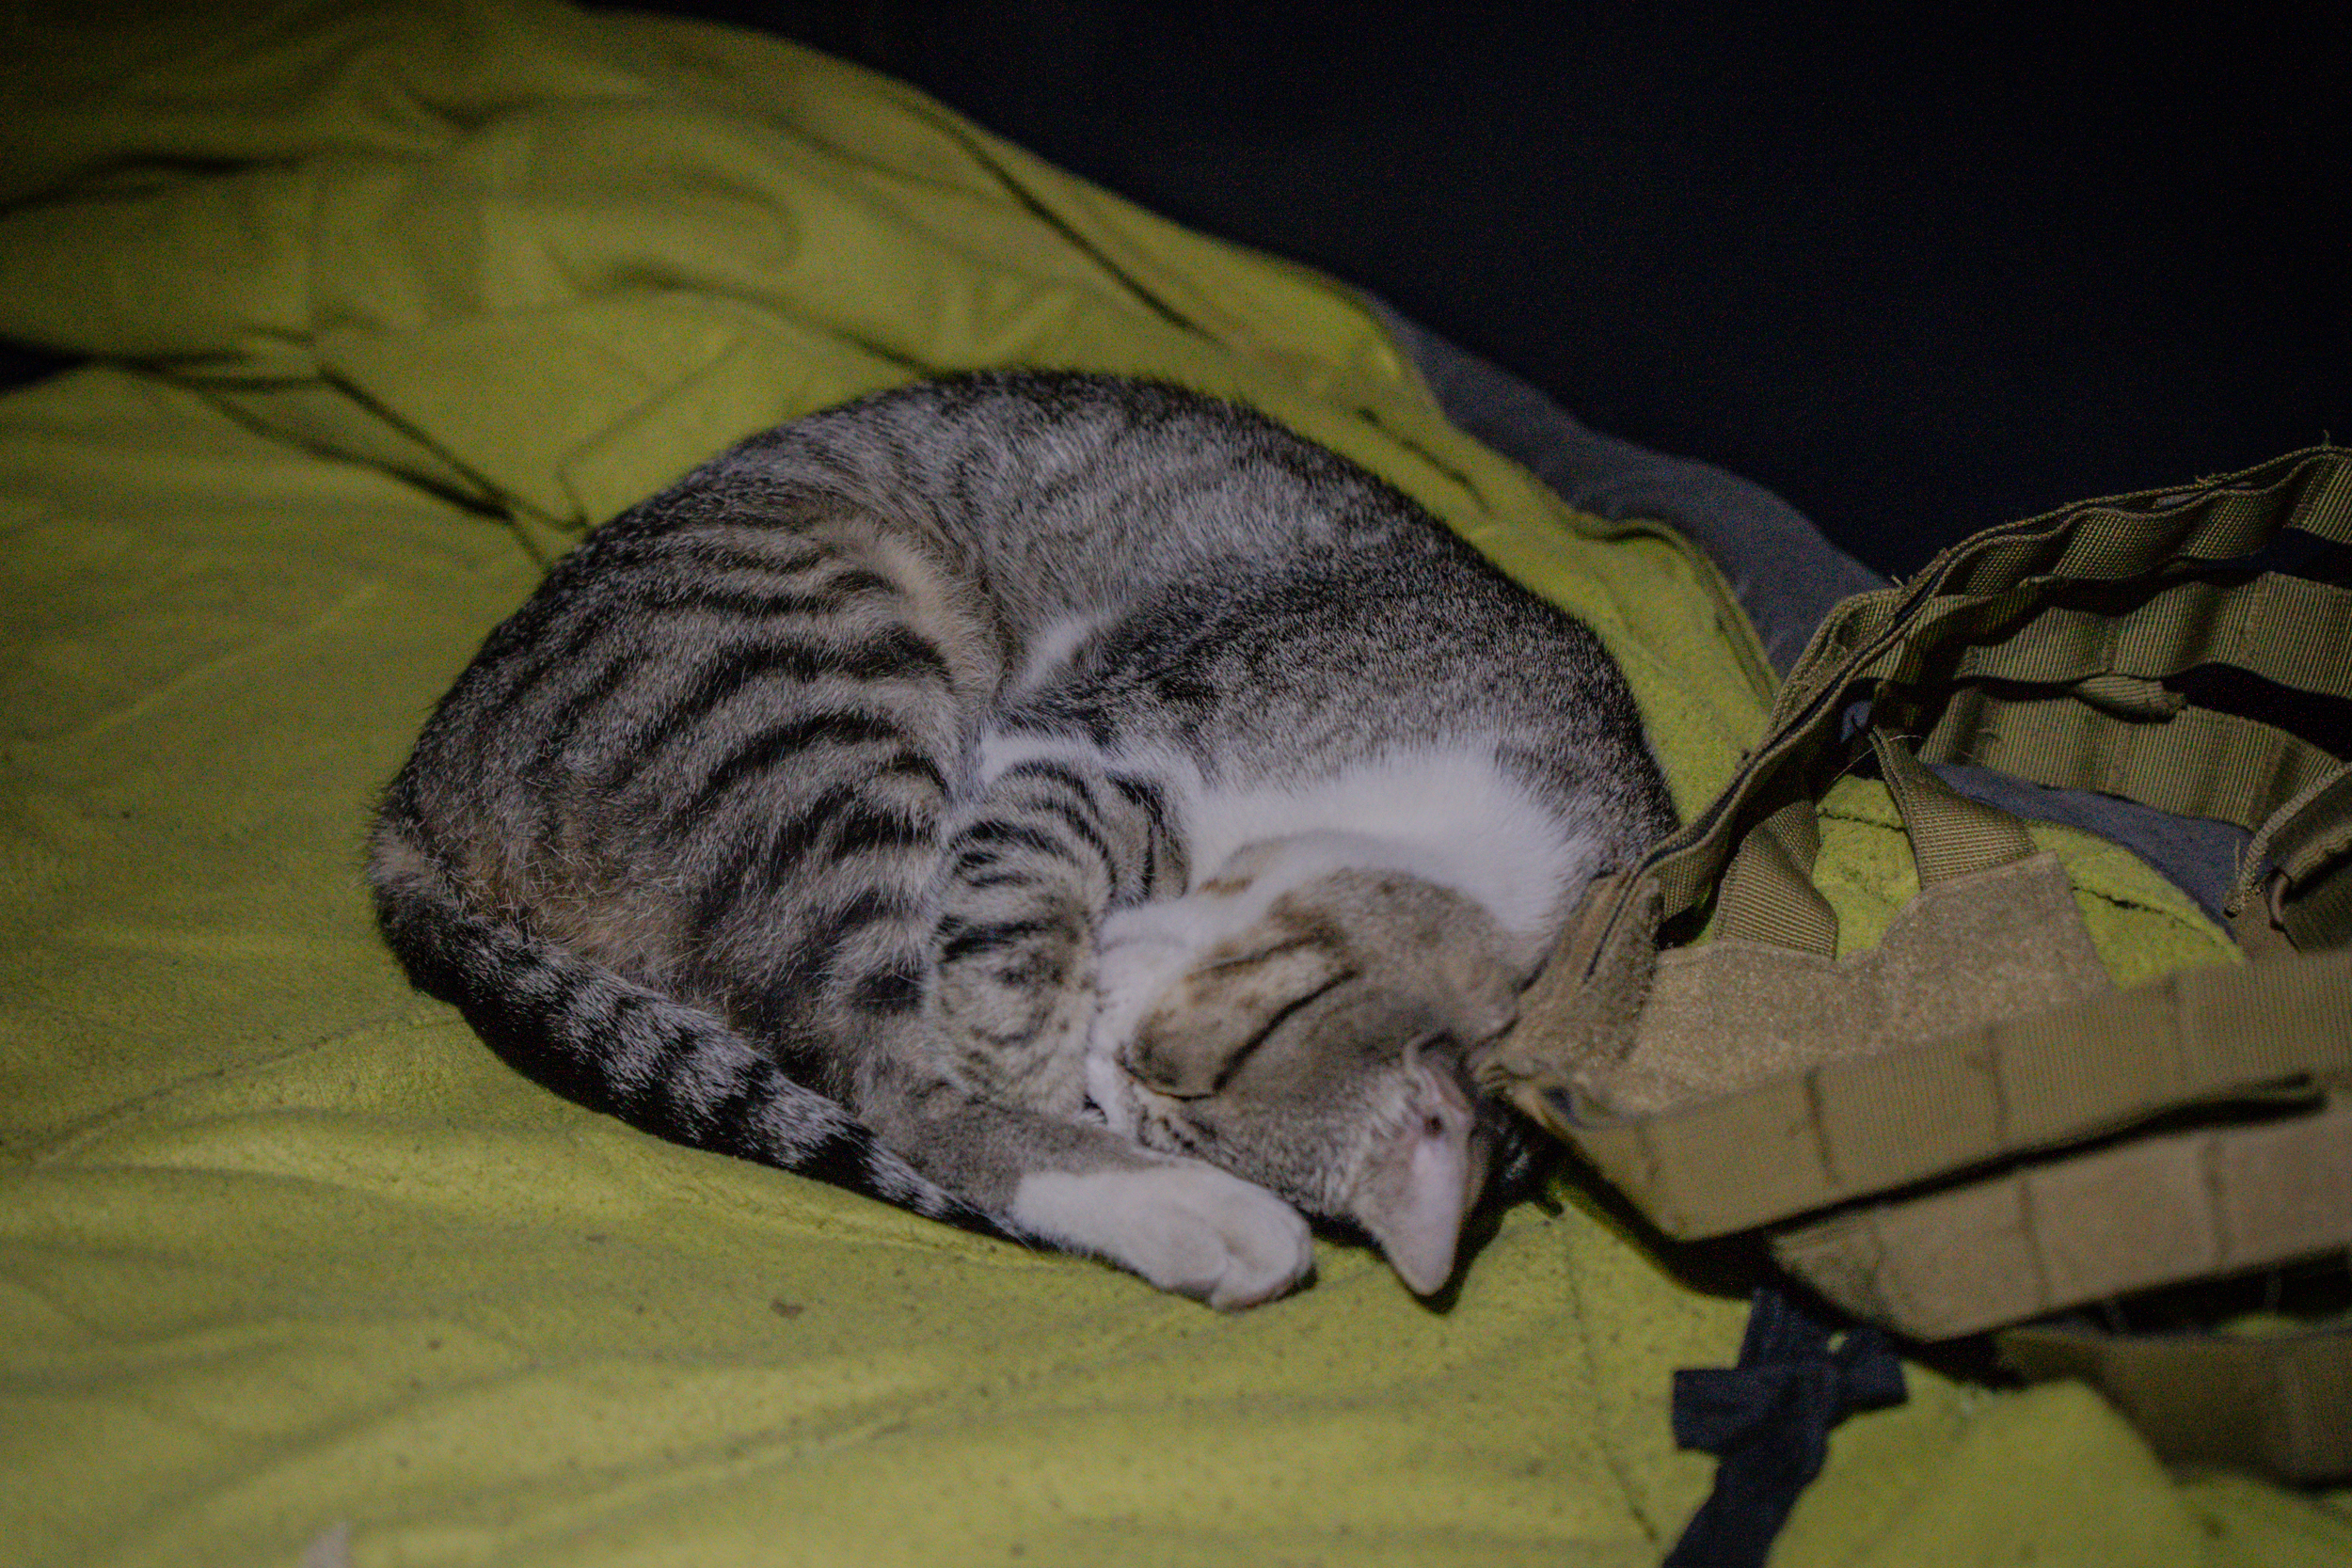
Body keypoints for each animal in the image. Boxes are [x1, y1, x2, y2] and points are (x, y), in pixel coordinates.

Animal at [367, 373, 1675, 1307]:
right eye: (1212, 1040)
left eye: (1168, 1087)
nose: (1104, 1054)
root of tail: (414, 791)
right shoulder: (1081, 736)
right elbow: (1008, 946)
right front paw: (1047, 1059)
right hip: (819, 686)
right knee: (892, 1071)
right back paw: (1196, 1216)